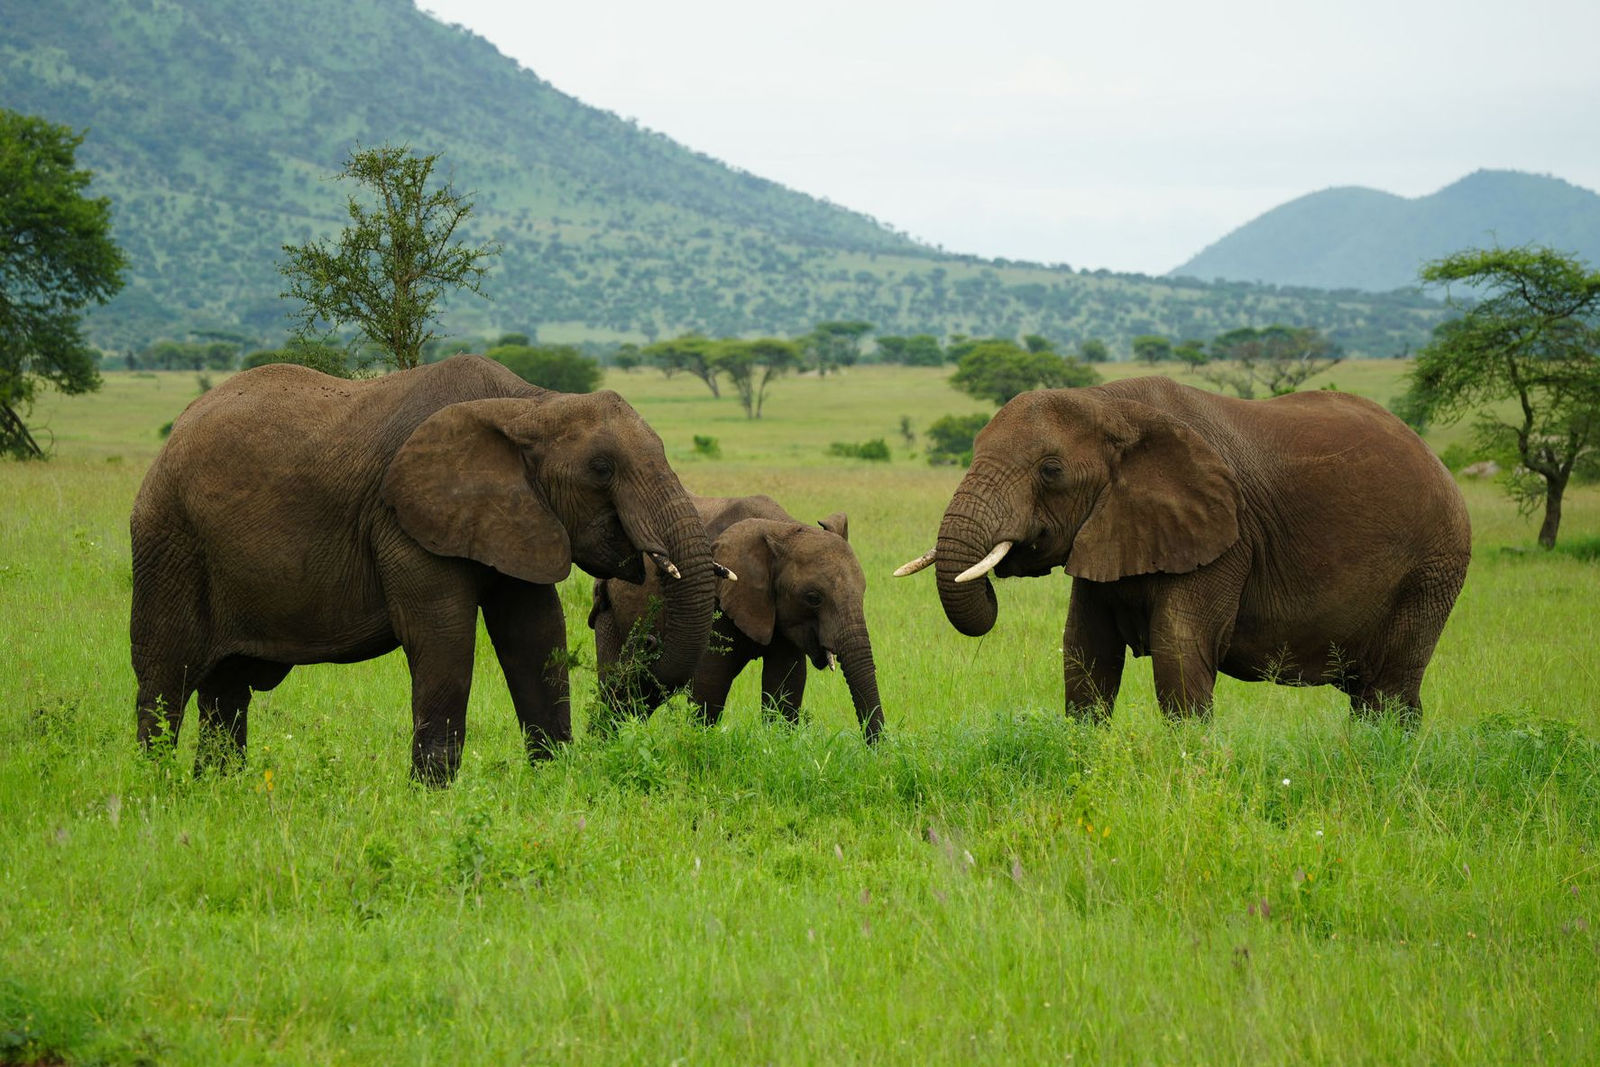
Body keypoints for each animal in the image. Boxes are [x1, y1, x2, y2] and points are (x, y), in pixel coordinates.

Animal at [129, 355, 716, 785]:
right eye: (601, 469)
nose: (642, 653)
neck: (529, 404)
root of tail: (174, 432)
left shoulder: (515, 515)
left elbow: (534, 636)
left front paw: (551, 779)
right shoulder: (405, 519)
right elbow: (442, 636)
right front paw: (432, 796)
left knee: (226, 687)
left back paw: (219, 788)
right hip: (169, 540)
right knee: (165, 675)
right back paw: (154, 789)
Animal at [589, 494, 884, 741]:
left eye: (863, 591)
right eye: (813, 598)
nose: (876, 751)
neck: (782, 527)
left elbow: (786, 684)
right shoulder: (716, 599)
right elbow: (711, 682)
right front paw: (701, 742)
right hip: (609, 610)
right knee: (615, 682)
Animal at [896, 376, 1471, 722]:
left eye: (1051, 471)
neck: (1109, 404)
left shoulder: (1226, 539)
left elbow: (1178, 652)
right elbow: (1085, 652)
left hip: (1433, 567)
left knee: (1389, 691)